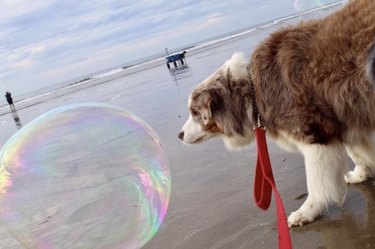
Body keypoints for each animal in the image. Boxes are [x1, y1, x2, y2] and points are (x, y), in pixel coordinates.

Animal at [178, 0, 375, 228]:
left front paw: (307, 212)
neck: (253, 90)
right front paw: (361, 174)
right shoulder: (344, 117)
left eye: (194, 112)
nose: (179, 135)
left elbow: (317, 183)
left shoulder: (315, 135)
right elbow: (358, 152)